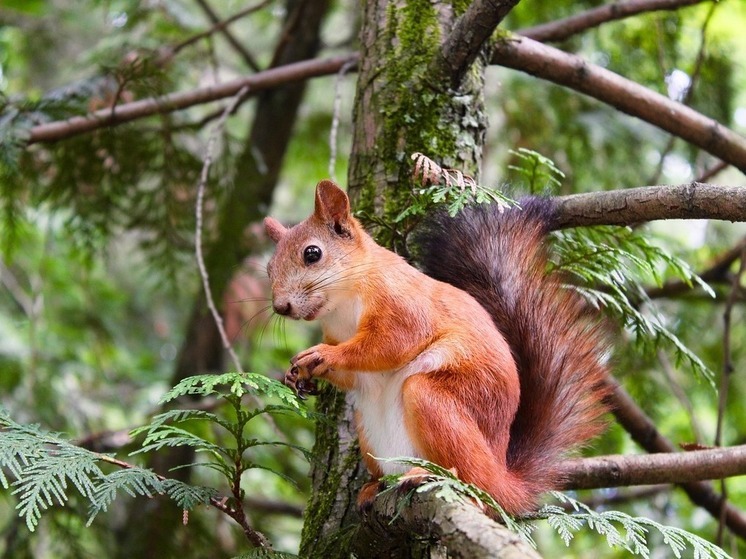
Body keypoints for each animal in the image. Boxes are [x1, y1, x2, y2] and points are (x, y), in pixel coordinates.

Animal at [264, 179, 608, 516]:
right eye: (268, 268)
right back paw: (374, 486)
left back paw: (431, 476)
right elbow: (353, 375)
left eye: (312, 254)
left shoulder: (403, 304)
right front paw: (299, 375)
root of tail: (502, 478)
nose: (281, 307)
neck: (343, 304)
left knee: (472, 479)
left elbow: (390, 344)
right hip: (369, 432)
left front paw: (323, 355)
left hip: (436, 402)